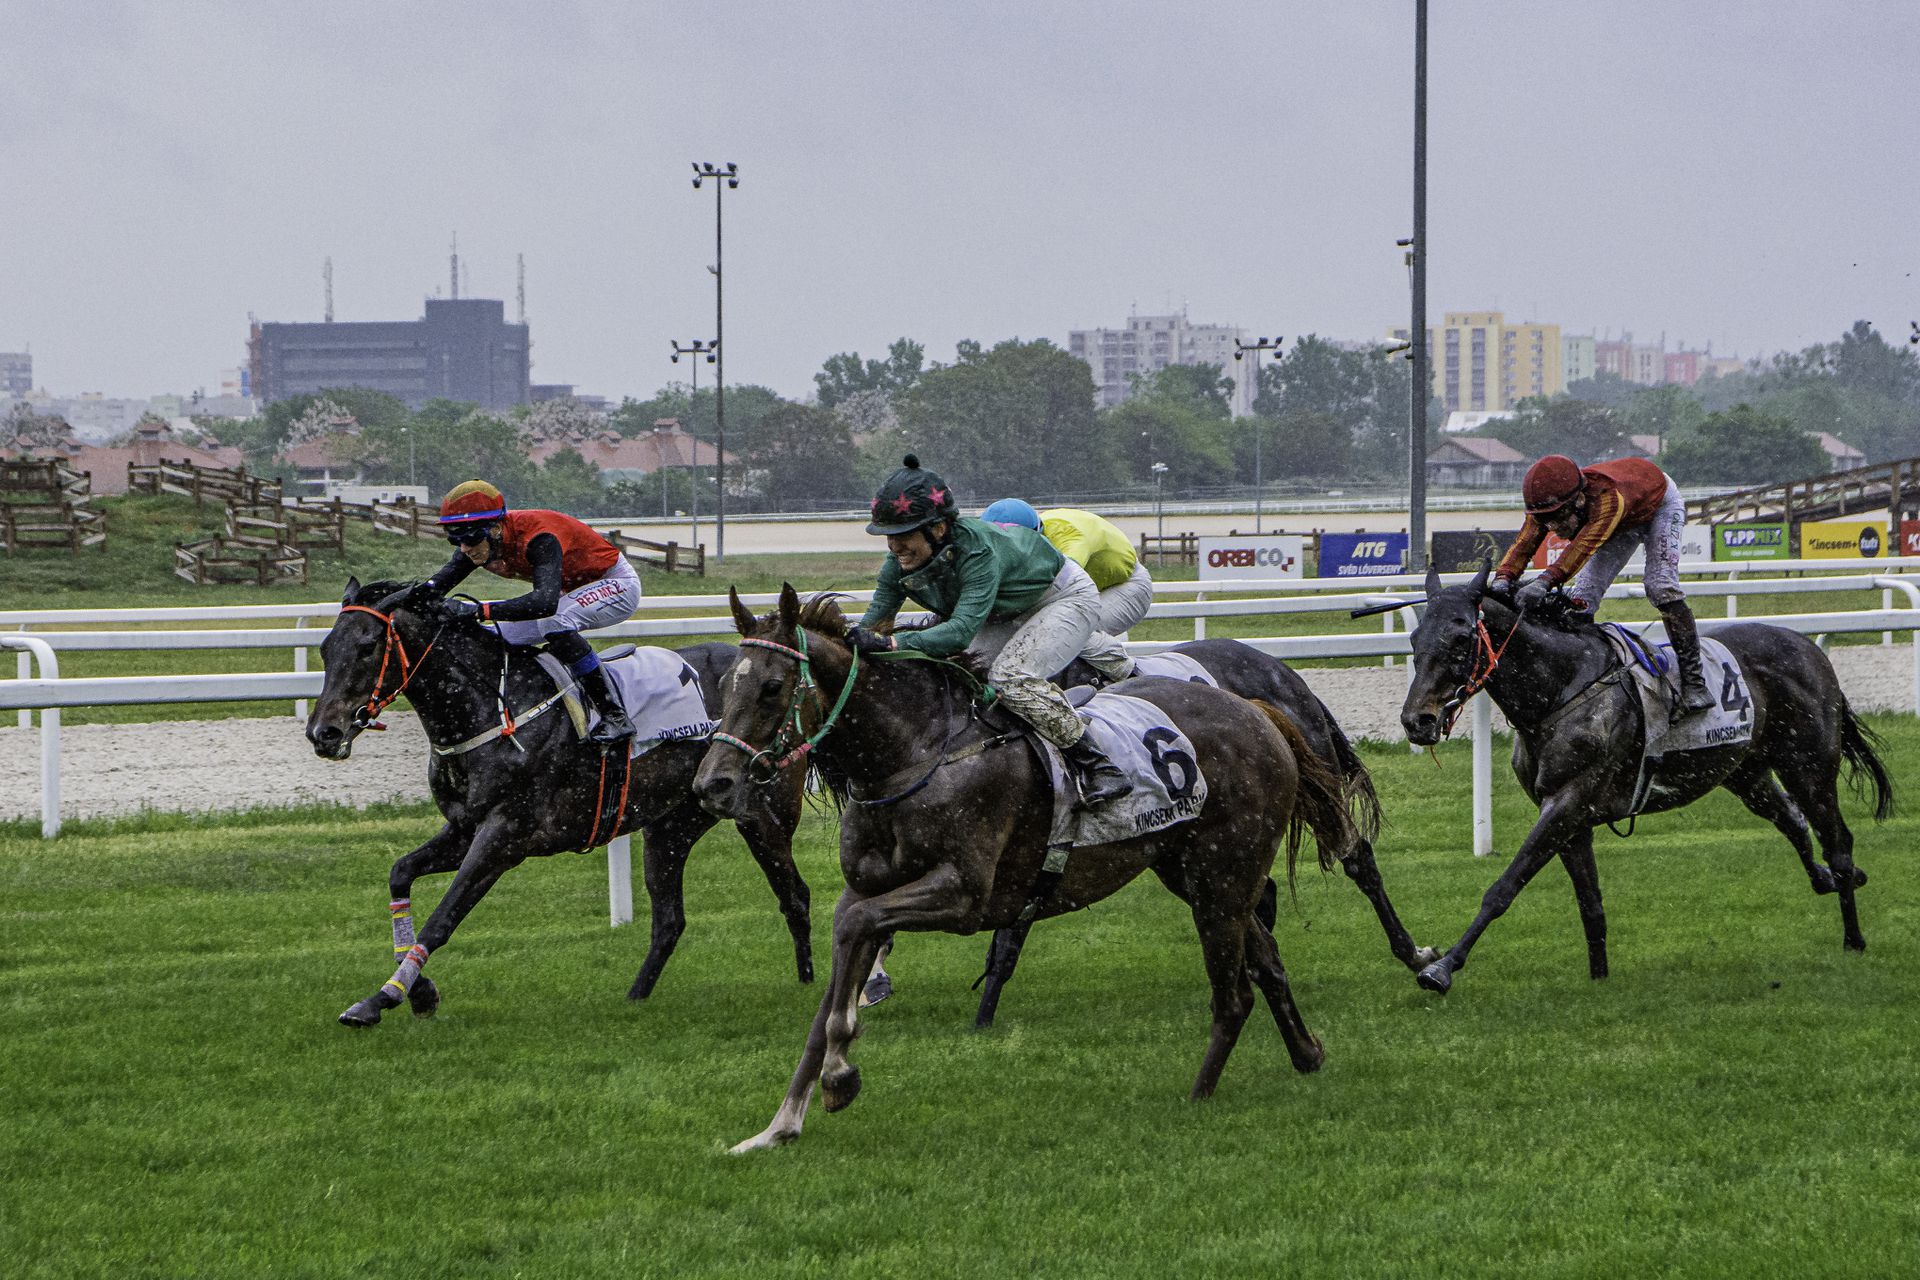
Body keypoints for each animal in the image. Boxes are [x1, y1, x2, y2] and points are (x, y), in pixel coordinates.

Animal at [695, 587, 1351, 1151]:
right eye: (724, 683)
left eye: (773, 687)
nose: (712, 785)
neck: (916, 752)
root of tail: (1258, 710)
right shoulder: (862, 890)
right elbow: (837, 971)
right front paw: (780, 1124)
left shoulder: (964, 895)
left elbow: (858, 938)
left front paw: (838, 1073)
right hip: (1197, 872)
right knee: (1267, 961)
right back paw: (1307, 1052)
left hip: (1224, 872)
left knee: (1234, 991)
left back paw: (1198, 1097)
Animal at [1397, 564, 1889, 997]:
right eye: (1415, 638)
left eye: (1462, 637)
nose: (1416, 720)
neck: (1560, 690)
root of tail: (1808, 646)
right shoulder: (1570, 819)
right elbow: (1590, 903)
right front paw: (1599, 978)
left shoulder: (1567, 802)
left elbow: (1504, 887)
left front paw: (1441, 968)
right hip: (1745, 773)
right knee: (1792, 819)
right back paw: (1830, 880)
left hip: (1808, 766)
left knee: (1837, 840)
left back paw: (1854, 937)